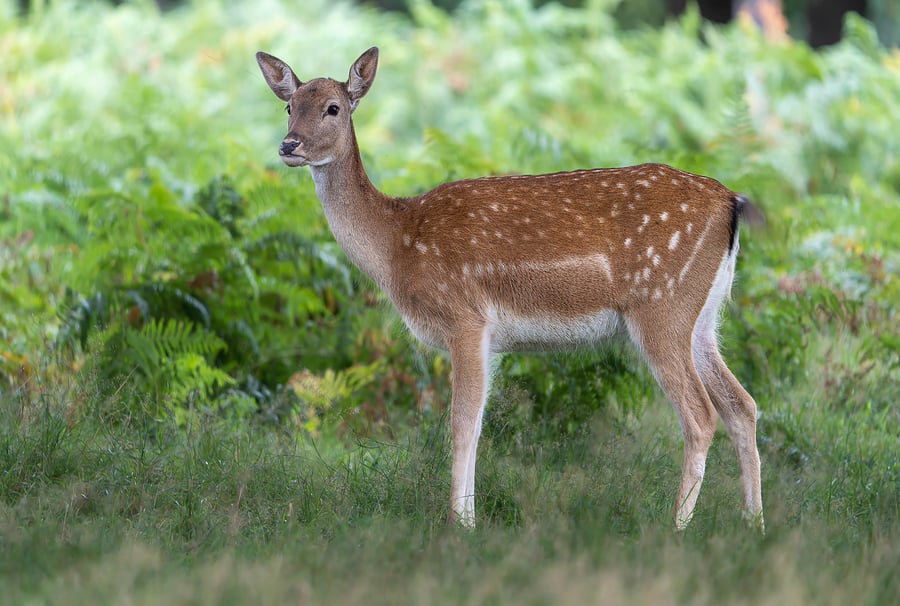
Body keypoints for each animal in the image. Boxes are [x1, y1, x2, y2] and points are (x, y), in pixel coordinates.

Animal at [256, 46, 764, 531]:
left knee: (700, 414)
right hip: (702, 316)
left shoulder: (465, 317)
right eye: (289, 106)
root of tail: (730, 201)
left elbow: (462, 424)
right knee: (742, 404)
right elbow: (479, 423)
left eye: (334, 108)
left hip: (662, 305)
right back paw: (753, 524)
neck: (397, 243)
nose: (289, 144)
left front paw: (460, 525)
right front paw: (469, 516)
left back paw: (676, 527)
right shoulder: (486, 338)